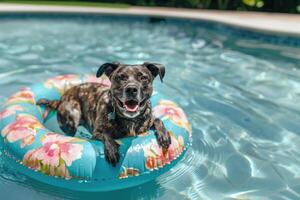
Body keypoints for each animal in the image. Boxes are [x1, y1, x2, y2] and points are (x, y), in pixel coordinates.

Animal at [37, 62, 171, 166]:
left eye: (143, 77)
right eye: (120, 77)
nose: (131, 89)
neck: (130, 120)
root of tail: (61, 99)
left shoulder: (147, 121)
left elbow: (158, 119)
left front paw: (164, 135)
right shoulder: (96, 133)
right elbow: (106, 134)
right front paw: (111, 149)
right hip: (72, 117)